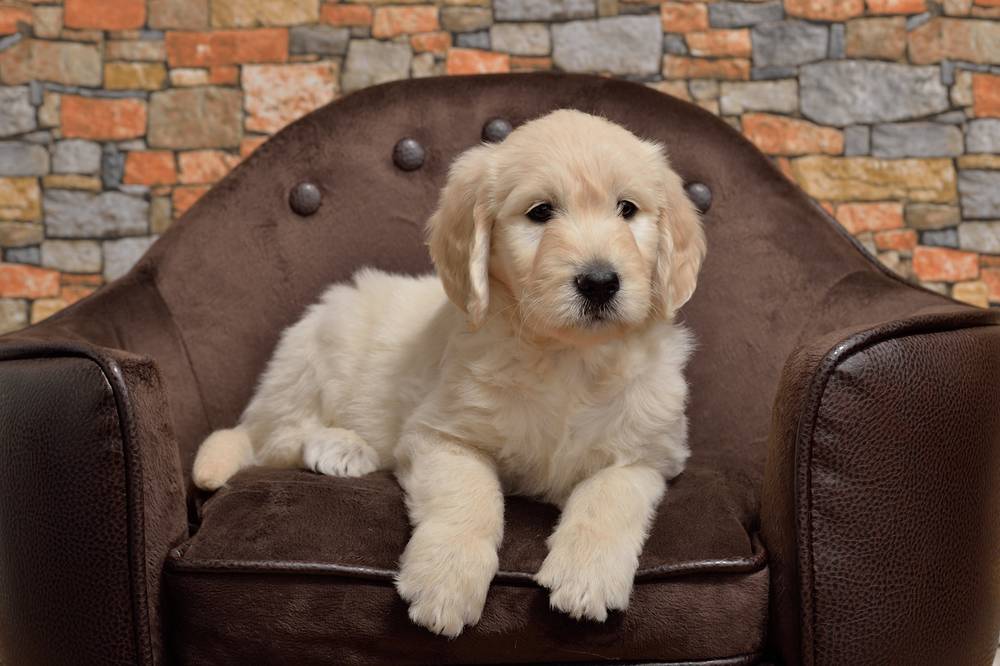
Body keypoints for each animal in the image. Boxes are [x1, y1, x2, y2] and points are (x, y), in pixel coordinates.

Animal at [191, 110, 708, 640]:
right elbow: (469, 497)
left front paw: (586, 578)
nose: (600, 282)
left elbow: (609, 498)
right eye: (541, 212)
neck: (565, 356)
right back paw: (340, 447)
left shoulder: (648, 454)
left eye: (627, 209)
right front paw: (445, 582)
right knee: (271, 439)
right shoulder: (441, 433)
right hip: (318, 349)